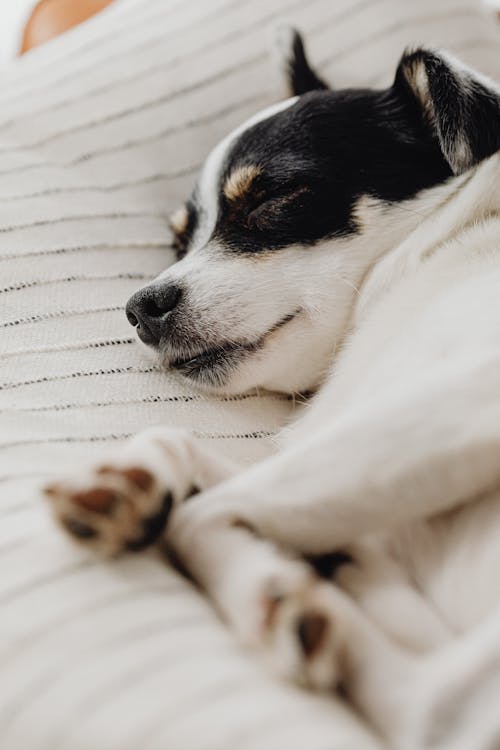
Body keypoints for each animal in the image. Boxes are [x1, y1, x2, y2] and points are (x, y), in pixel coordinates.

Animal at [44, 29, 500, 750]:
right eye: (177, 242)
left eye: (269, 199)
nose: (141, 306)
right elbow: (177, 439)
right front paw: (133, 479)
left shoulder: (460, 403)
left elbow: (213, 505)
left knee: (434, 707)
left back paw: (288, 596)